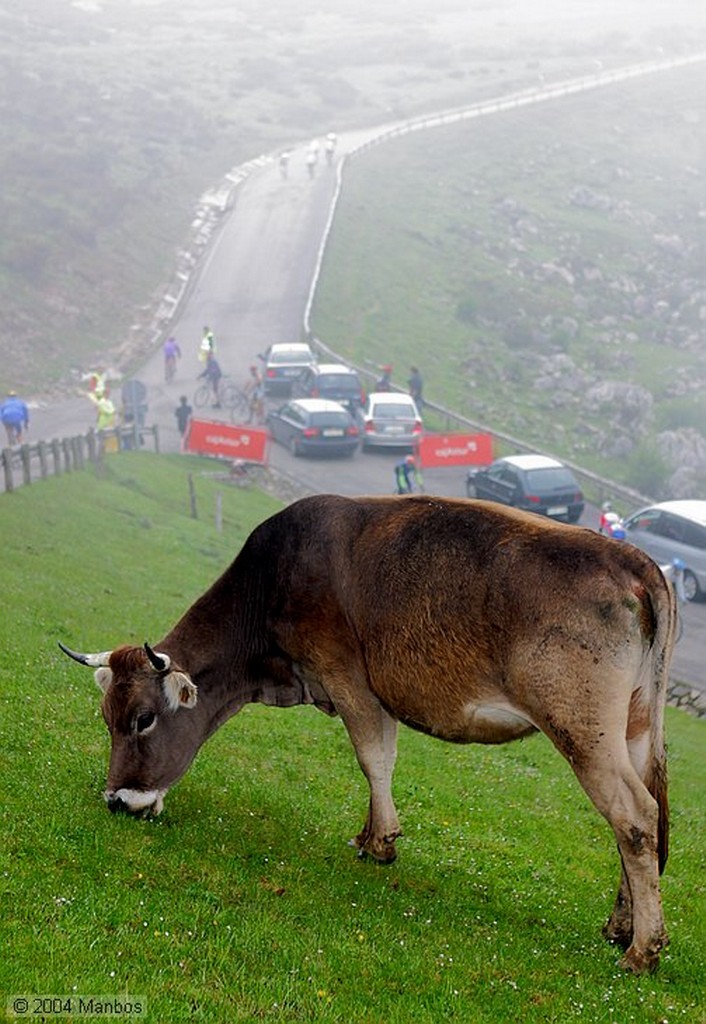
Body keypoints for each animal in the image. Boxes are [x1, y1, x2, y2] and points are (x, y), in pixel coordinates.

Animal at [60, 495, 672, 974]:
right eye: (107, 718)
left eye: (144, 718)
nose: (117, 799)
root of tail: (634, 561)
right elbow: (383, 758)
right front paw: (368, 834)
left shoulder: (347, 676)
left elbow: (372, 758)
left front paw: (380, 842)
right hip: (633, 727)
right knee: (641, 818)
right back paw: (621, 925)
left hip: (582, 727)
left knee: (635, 816)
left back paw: (642, 950)